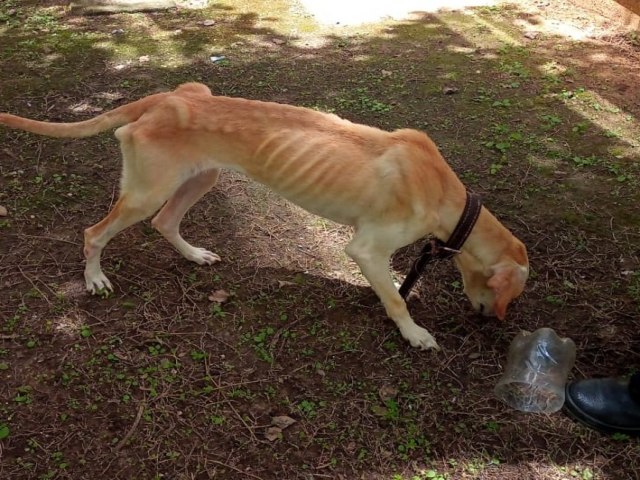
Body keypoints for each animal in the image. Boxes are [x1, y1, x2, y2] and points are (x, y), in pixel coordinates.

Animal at [1, 83, 528, 348]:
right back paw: (93, 278)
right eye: (512, 295)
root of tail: (168, 98)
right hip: (147, 192)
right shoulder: (365, 247)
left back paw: (194, 256)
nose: (492, 321)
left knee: (165, 223)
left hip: (201, 178)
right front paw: (415, 334)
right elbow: (397, 301)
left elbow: (390, 288)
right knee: (95, 232)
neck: (447, 195)